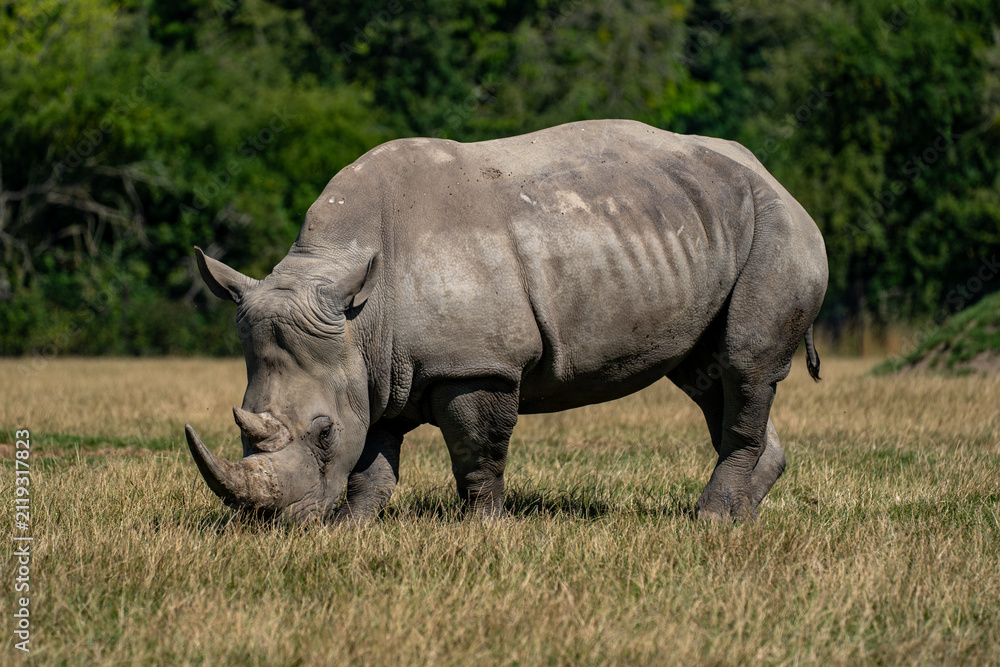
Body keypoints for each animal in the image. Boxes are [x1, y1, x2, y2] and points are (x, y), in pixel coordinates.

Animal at [185, 119, 827, 524]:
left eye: (321, 435)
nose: (280, 523)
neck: (359, 311)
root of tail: (775, 177)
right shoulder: (373, 368)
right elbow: (372, 456)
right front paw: (353, 528)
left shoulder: (477, 364)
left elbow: (478, 451)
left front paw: (485, 530)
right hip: (703, 223)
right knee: (709, 376)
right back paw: (739, 516)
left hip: (778, 229)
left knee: (744, 364)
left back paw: (714, 519)